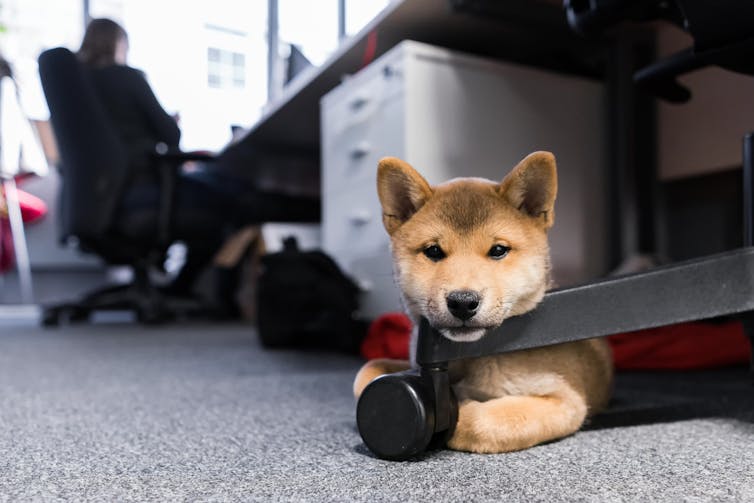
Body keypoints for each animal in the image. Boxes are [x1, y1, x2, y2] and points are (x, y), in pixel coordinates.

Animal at [354, 152, 612, 454]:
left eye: (498, 250)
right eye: (433, 251)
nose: (463, 302)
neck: (467, 358)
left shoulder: (564, 399)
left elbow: (477, 422)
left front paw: (454, 409)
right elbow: (367, 371)